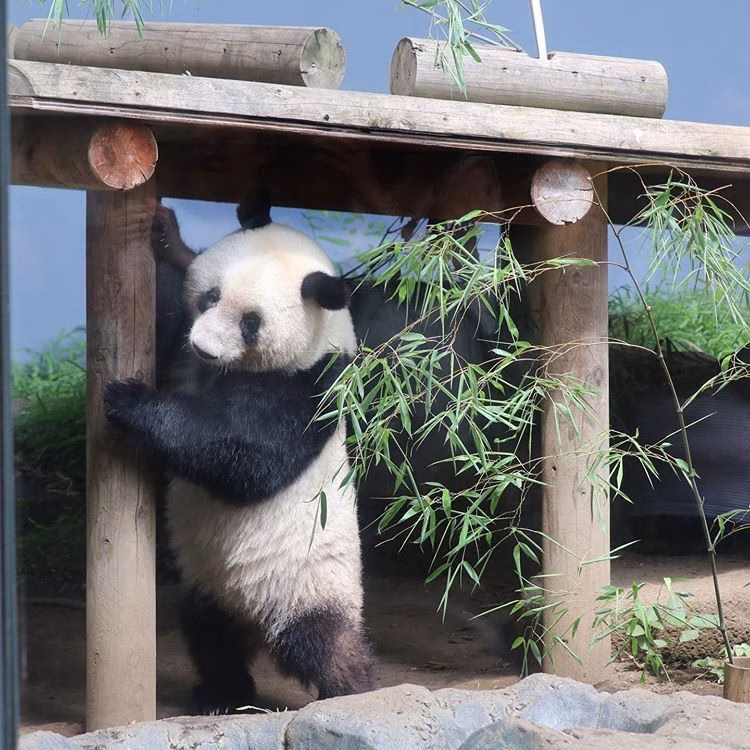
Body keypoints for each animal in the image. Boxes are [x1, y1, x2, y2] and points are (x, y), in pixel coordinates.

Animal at [103, 205, 376, 714]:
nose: (205, 347)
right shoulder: (183, 353)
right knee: (210, 636)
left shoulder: (308, 385)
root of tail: (256, 616)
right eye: (211, 297)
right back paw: (220, 693)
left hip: (310, 582)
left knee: (324, 642)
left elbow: (244, 451)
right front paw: (165, 234)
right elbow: (165, 323)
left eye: (252, 322)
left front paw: (129, 400)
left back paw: (354, 691)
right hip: (208, 586)